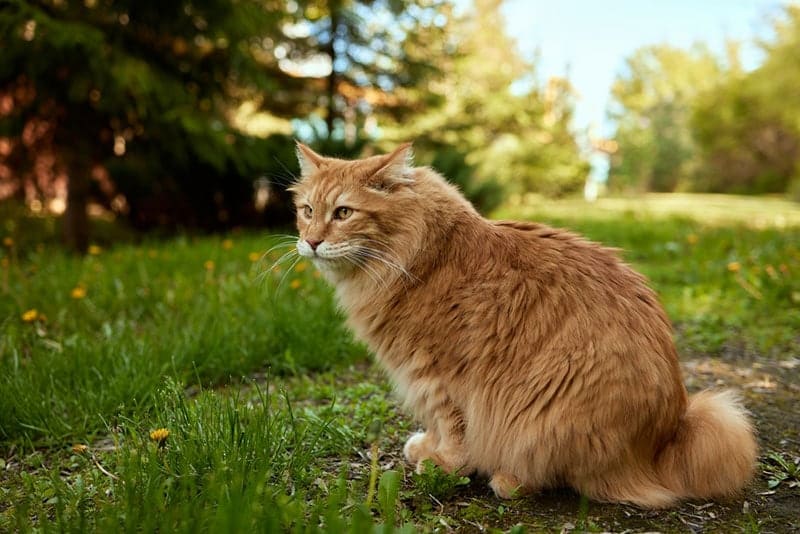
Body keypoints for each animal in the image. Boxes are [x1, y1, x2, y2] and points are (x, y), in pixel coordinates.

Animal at [290, 143, 756, 510]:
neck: (422, 255)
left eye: (344, 212)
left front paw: (444, 464)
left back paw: (507, 479)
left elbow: (453, 429)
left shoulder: (441, 373)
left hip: (546, 412)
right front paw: (426, 447)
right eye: (307, 211)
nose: (310, 241)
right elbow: (438, 427)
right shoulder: (426, 374)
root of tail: (668, 434)